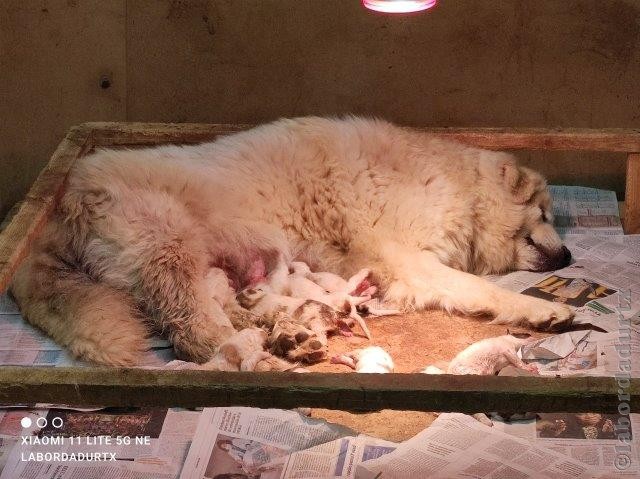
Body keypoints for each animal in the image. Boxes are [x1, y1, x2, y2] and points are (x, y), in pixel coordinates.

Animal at [12, 116, 576, 364]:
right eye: (546, 211)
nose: (570, 254)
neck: (457, 187)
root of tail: (62, 198)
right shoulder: (405, 260)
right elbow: (482, 288)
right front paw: (542, 309)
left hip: (210, 267)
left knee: (225, 311)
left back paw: (285, 335)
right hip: (170, 246)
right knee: (192, 329)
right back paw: (249, 353)